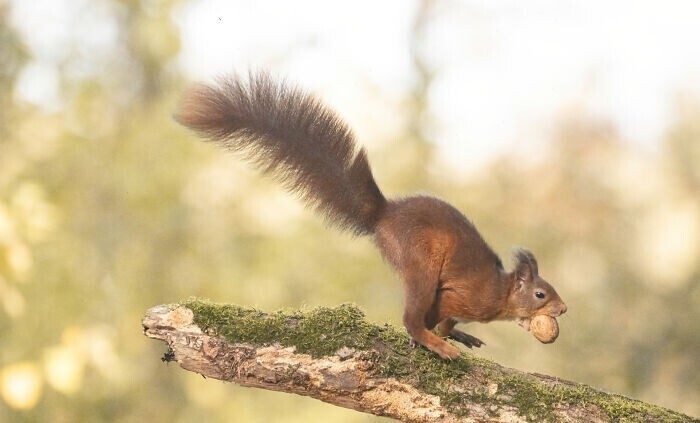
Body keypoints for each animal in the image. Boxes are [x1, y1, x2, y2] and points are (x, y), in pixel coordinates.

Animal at [176, 73, 568, 362]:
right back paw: (433, 343)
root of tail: (384, 215)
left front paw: (455, 332)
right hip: (419, 259)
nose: (563, 309)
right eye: (540, 294)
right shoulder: (462, 297)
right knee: (412, 316)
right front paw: (438, 335)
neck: (501, 292)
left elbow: (445, 321)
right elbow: (433, 315)